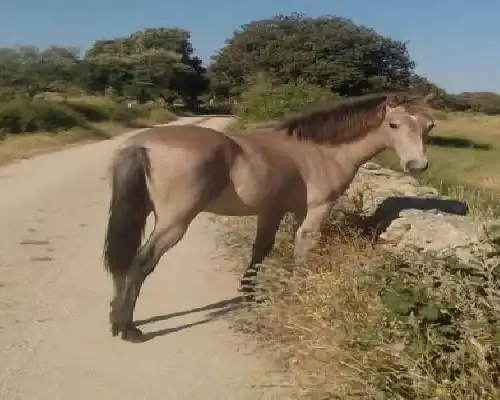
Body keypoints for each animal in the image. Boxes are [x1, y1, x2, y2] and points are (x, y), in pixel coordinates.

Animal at [102, 93, 434, 340]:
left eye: (428, 126)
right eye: (393, 124)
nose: (417, 165)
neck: (320, 151)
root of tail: (141, 143)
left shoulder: (273, 210)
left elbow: (260, 250)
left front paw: (249, 294)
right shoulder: (313, 211)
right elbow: (302, 250)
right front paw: (296, 293)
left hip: (140, 212)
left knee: (123, 261)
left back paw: (115, 317)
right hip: (174, 223)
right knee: (141, 263)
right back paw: (128, 328)